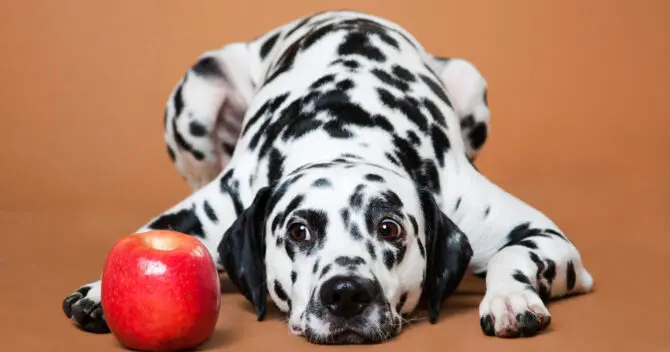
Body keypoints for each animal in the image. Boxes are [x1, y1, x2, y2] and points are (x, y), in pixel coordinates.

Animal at [63, 10, 596, 344]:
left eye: (390, 228)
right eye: (298, 230)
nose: (346, 293)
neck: (343, 133)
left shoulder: (548, 239)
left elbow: (513, 254)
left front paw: (509, 297)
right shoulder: (216, 203)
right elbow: (149, 234)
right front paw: (98, 291)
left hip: (471, 84)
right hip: (195, 97)